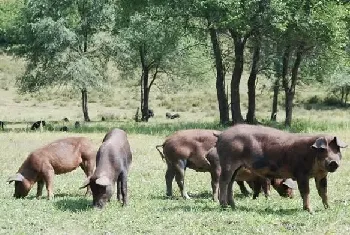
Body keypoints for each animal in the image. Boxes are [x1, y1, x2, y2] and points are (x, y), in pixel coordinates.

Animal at [156, 129, 292, 201]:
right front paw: (266, 196)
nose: (291, 196)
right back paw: (187, 197)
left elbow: (241, 182)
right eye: (285, 184)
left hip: (170, 162)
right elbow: (264, 183)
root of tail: (166, 141)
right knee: (179, 179)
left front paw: (247, 193)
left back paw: (169, 195)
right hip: (179, 161)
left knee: (168, 177)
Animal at [216, 124, 348, 212]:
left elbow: (323, 191)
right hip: (227, 163)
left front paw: (329, 208)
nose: (333, 162)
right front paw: (310, 211)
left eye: (337, 149)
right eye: (323, 150)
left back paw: (233, 206)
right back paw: (224, 206)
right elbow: (306, 191)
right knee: (224, 182)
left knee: (230, 183)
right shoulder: (301, 173)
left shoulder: (322, 175)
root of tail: (221, 135)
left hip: (237, 168)